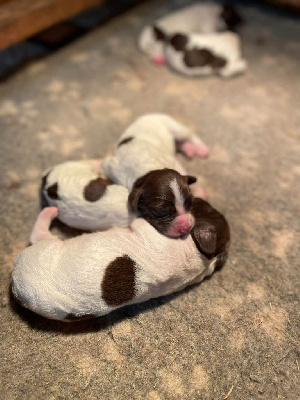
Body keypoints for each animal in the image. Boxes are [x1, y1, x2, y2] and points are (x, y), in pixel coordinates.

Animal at [12, 198, 230, 324]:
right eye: (208, 206)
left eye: (202, 207)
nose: (200, 197)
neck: (203, 256)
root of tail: (17, 284)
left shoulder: (148, 230)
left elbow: (139, 221)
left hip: (46, 246)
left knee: (37, 233)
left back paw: (50, 211)